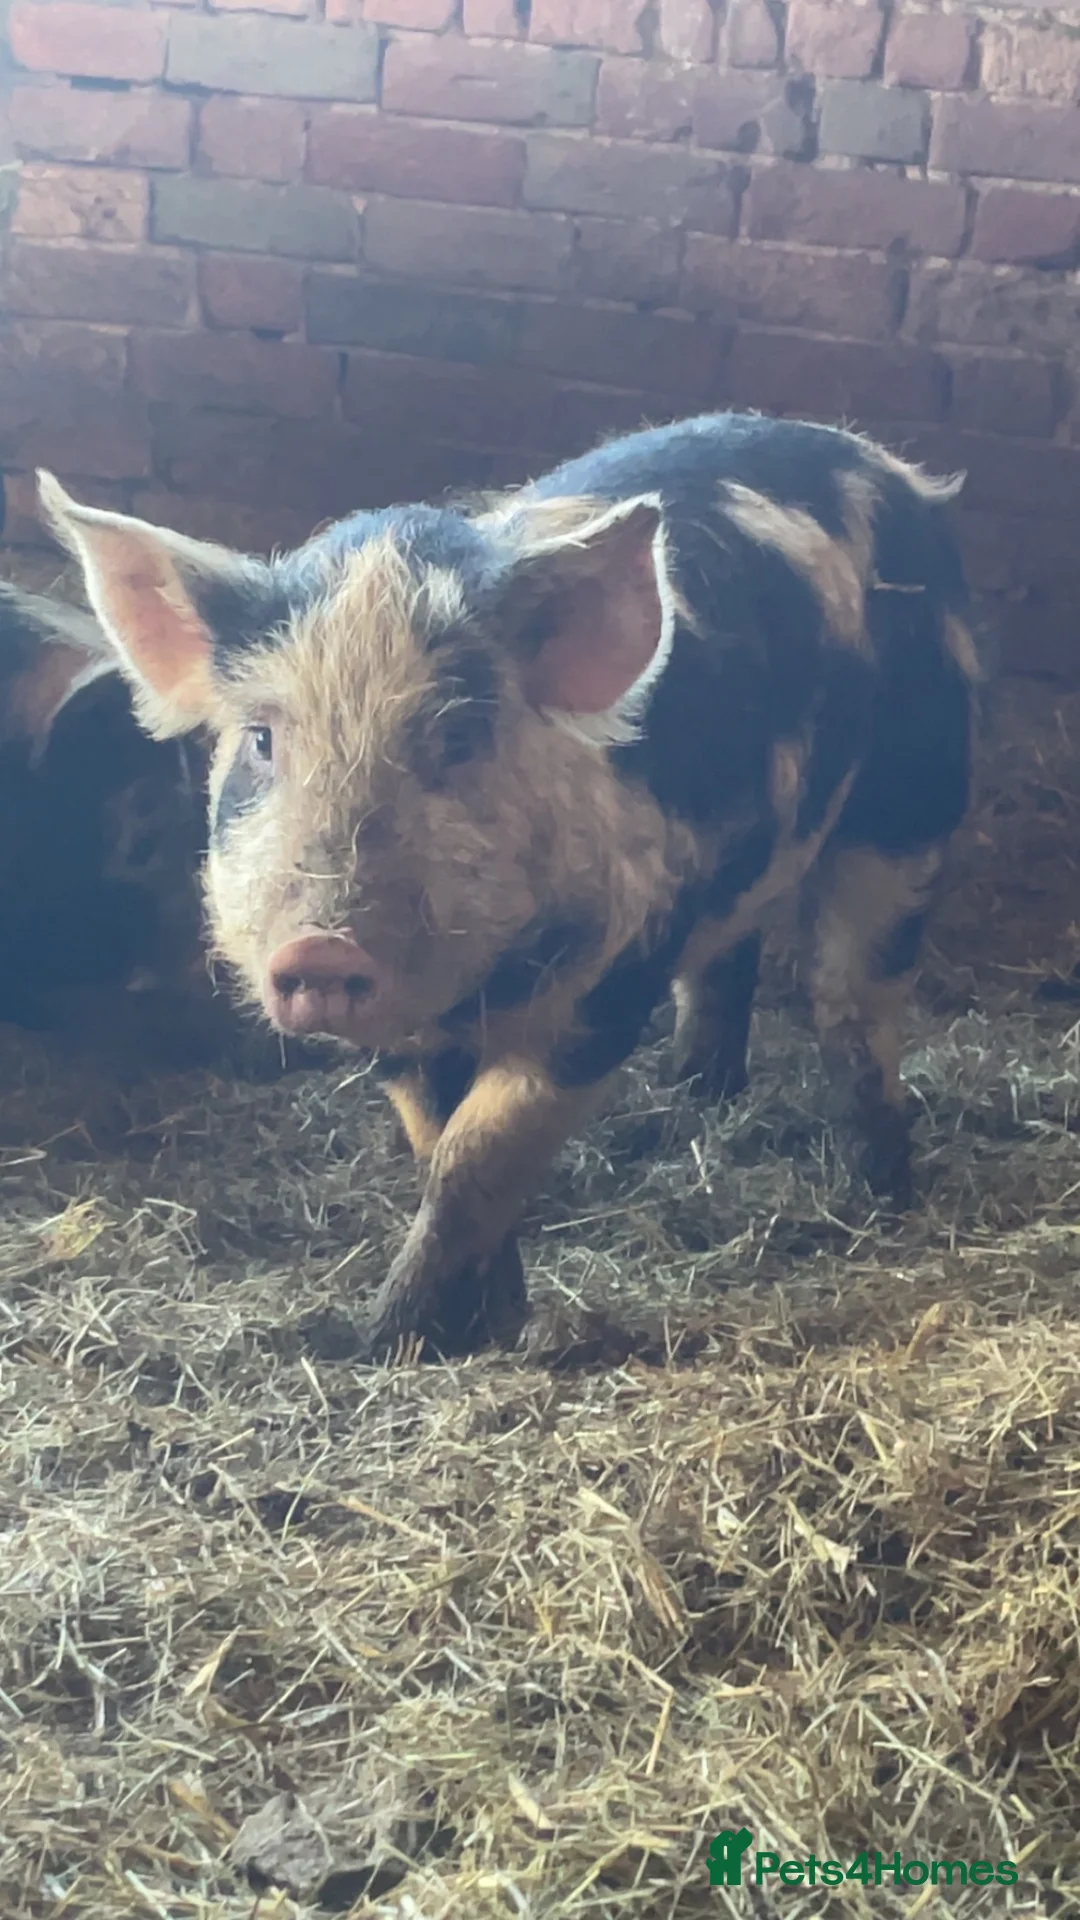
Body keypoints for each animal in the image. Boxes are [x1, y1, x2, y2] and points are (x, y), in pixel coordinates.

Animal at [39, 412, 977, 1356]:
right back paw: (695, 1095)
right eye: (263, 741)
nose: (321, 949)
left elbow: (477, 1154)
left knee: (851, 1000)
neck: (478, 990)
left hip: (911, 802)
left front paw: (390, 1340)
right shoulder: (410, 1038)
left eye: (456, 740)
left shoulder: (602, 990)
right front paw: (482, 1321)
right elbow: (439, 1147)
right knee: (727, 960)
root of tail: (892, 473)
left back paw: (883, 1194)